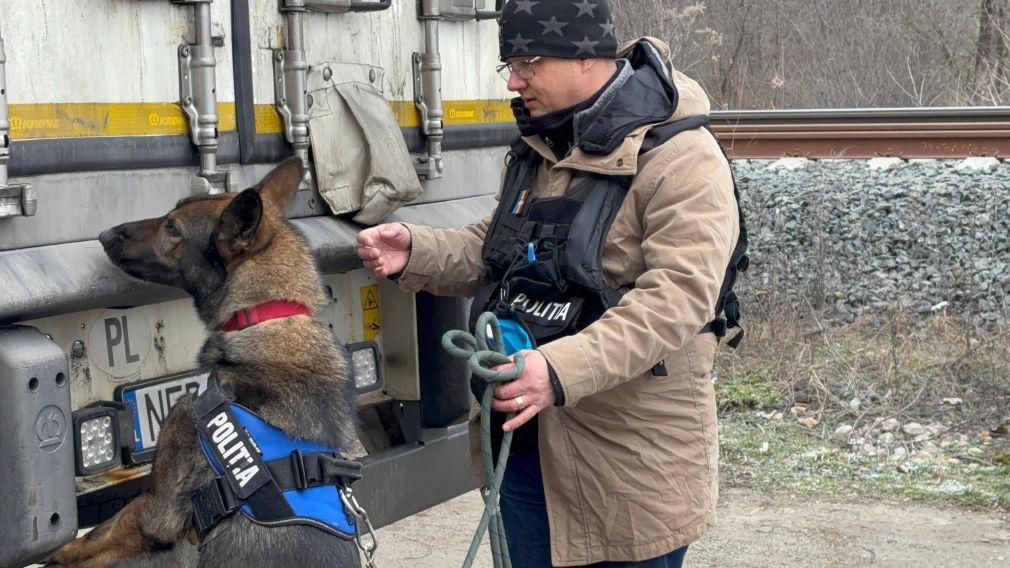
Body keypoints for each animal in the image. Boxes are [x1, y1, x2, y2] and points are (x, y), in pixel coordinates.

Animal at [50, 155, 363, 565]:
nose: (104, 234)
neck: (262, 315)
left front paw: (56, 551)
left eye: (172, 228)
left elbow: (93, 537)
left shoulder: (157, 511)